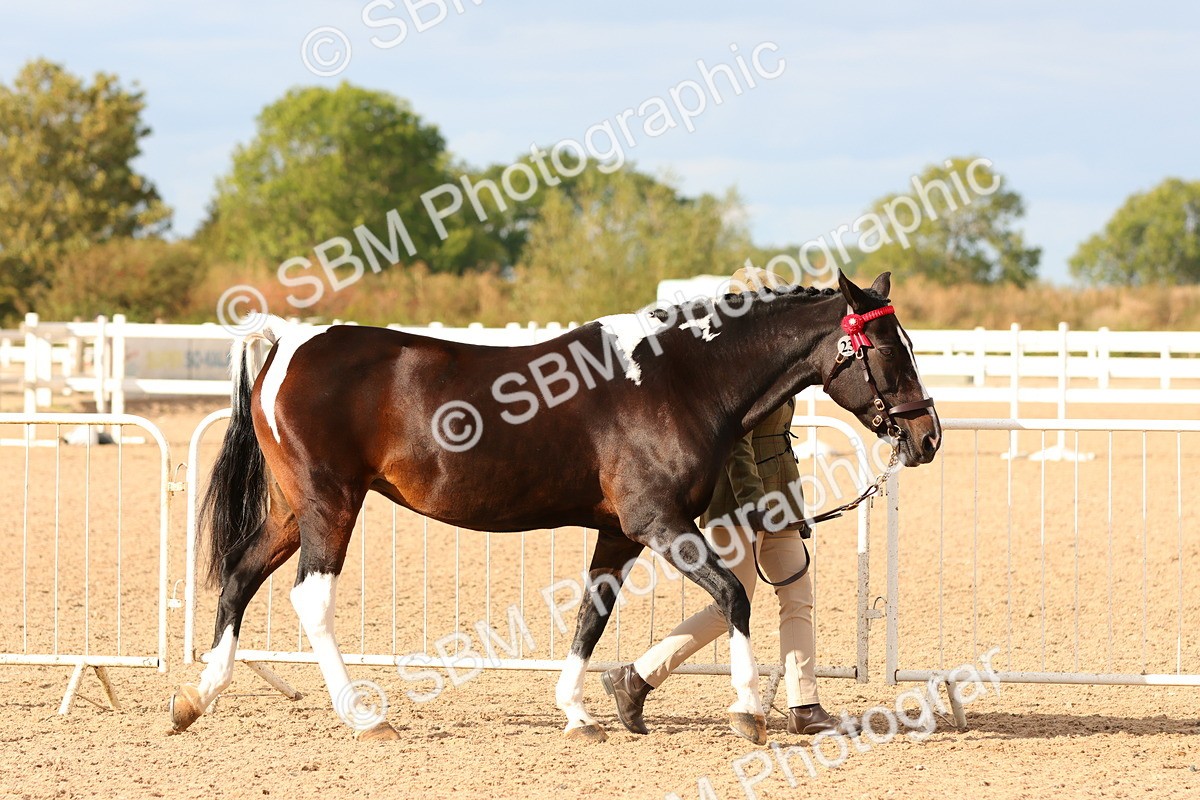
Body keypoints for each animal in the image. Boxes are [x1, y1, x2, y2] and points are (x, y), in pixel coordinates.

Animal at [168, 270, 940, 743]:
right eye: (885, 347)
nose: (927, 435)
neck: (678, 379)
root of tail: (288, 342)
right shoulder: (659, 524)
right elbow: (733, 596)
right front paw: (747, 710)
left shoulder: (620, 534)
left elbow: (592, 616)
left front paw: (580, 712)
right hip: (331, 504)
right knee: (310, 599)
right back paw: (363, 716)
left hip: (294, 510)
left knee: (239, 576)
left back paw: (196, 698)